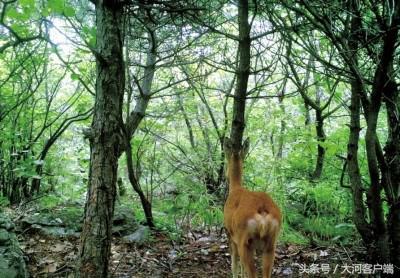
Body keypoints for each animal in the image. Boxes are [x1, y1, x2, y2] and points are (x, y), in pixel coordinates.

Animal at [223, 137, 282, 278]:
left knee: (251, 272)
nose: (225, 174)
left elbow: (234, 264)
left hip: (244, 241)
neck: (235, 188)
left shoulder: (230, 235)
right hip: (271, 243)